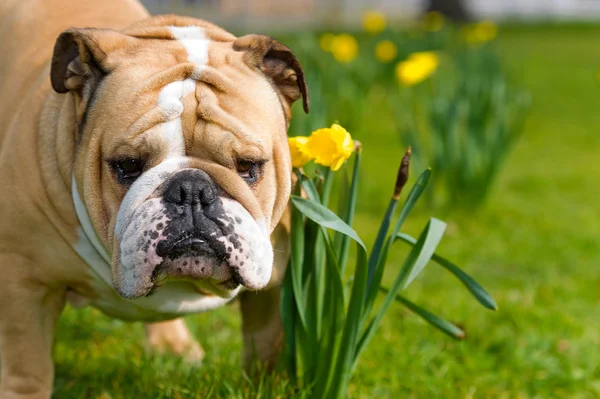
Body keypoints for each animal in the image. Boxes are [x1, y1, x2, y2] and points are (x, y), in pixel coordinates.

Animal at [0, 0, 308, 396]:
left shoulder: (276, 284)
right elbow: (28, 368)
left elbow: (266, 347)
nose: (191, 190)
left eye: (248, 165)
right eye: (127, 165)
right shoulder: (25, 285)